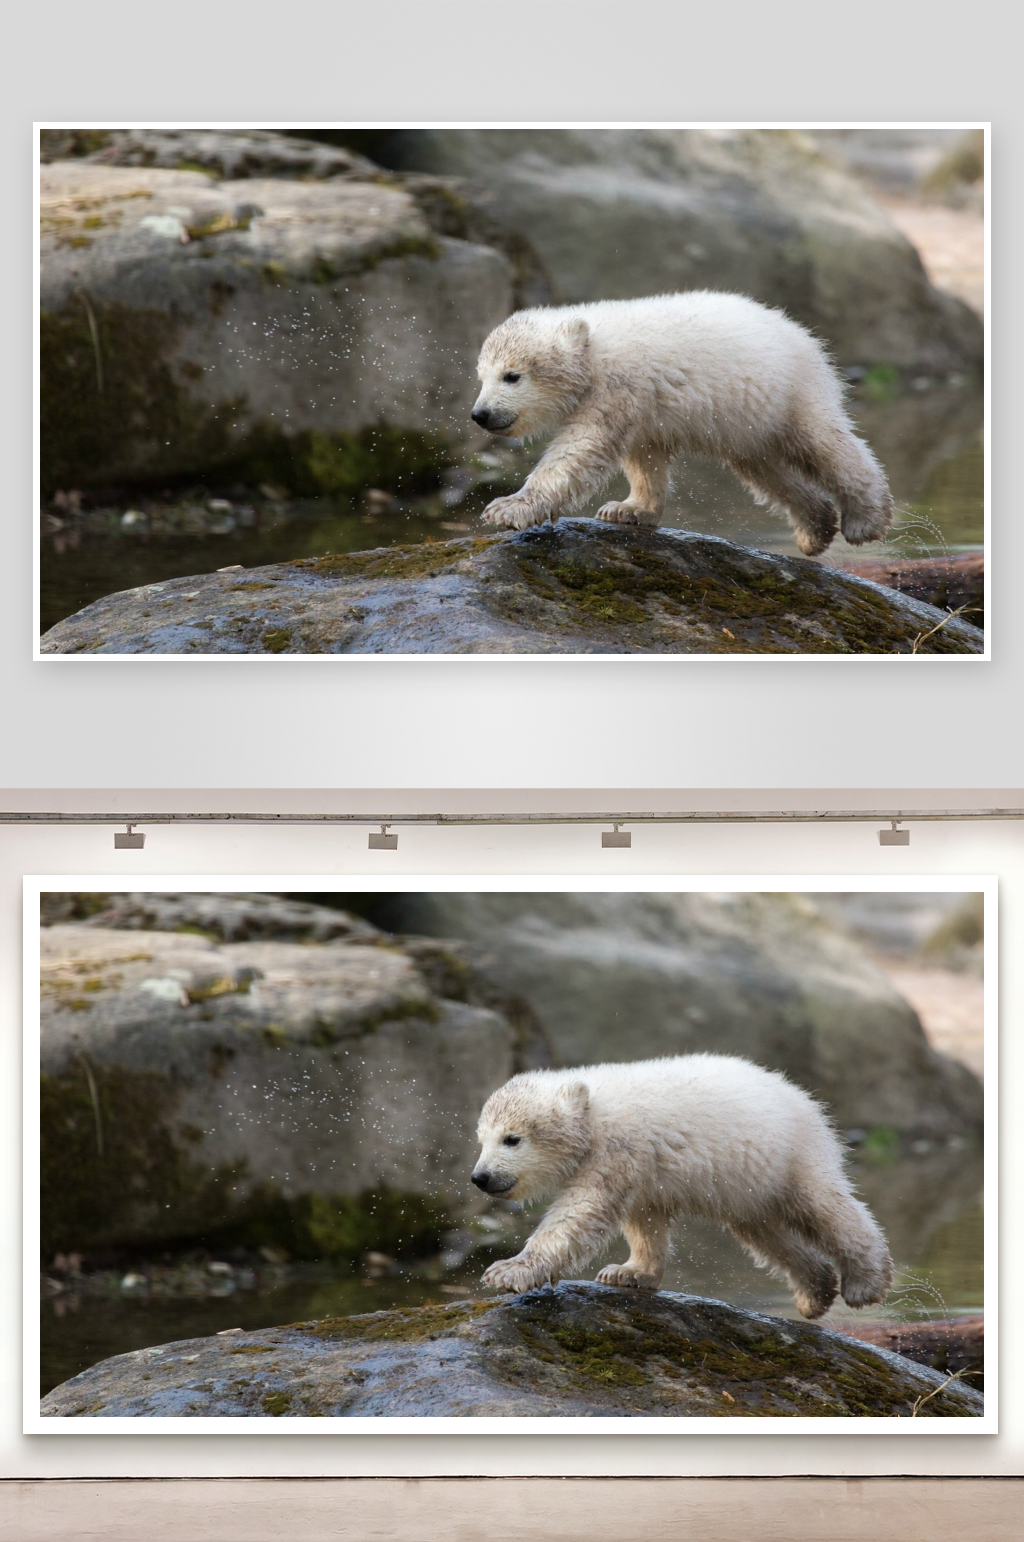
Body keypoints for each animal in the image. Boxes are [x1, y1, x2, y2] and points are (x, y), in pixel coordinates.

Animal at [471, 292, 893, 556]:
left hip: (788, 392)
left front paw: (508, 508)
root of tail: (800, 332)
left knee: (825, 444)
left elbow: (581, 448)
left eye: (512, 375)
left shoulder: (617, 386)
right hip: (751, 422)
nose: (481, 414)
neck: (593, 347)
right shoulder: (641, 407)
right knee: (765, 470)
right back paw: (814, 529)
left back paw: (865, 519)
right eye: (481, 376)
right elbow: (643, 456)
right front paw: (628, 509)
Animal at [471, 1054, 893, 1319]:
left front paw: (508, 1271)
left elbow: (581, 1211)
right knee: (765, 1234)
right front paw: (628, 1272)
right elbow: (644, 1220)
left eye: (512, 1138)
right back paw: (814, 1292)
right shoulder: (641, 1170)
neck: (593, 1110)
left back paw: (865, 1282)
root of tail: (800, 1095)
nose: (481, 1177)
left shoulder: (616, 1149)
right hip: (751, 1185)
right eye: (481, 1139)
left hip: (788, 1155)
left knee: (825, 1207)